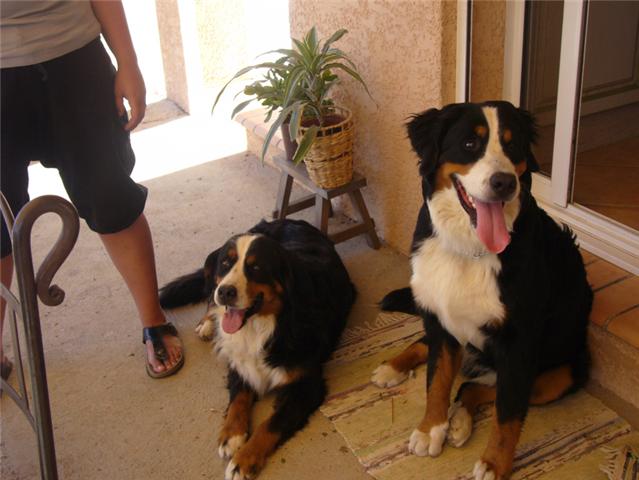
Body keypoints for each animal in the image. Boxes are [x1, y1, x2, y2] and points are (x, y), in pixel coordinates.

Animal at [159, 219, 355, 480]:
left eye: (256, 267)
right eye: (225, 263)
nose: (225, 291)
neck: (262, 327)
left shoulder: (306, 386)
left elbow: (271, 424)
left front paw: (243, 460)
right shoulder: (238, 363)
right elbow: (238, 401)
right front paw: (231, 436)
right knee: (209, 299)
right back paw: (207, 323)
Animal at [371, 101, 592, 479]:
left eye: (513, 145)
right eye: (470, 144)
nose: (504, 182)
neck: (468, 247)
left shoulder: (520, 342)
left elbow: (508, 413)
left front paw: (494, 463)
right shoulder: (441, 319)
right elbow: (437, 381)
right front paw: (431, 429)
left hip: (563, 373)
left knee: (479, 387)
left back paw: (460, 421)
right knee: (436, 355)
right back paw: (394, 368)